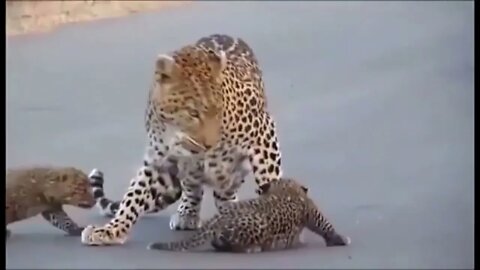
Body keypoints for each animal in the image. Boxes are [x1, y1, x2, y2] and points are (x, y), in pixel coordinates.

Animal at [81, 33, 284, 245]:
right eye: (193, 113)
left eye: (218, 110)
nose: (209, 145)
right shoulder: (159, 162)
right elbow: (133, 197)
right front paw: (111, 230)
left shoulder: (264, 134)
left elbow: (270, 180)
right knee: (194, 189)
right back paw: (188, 213)